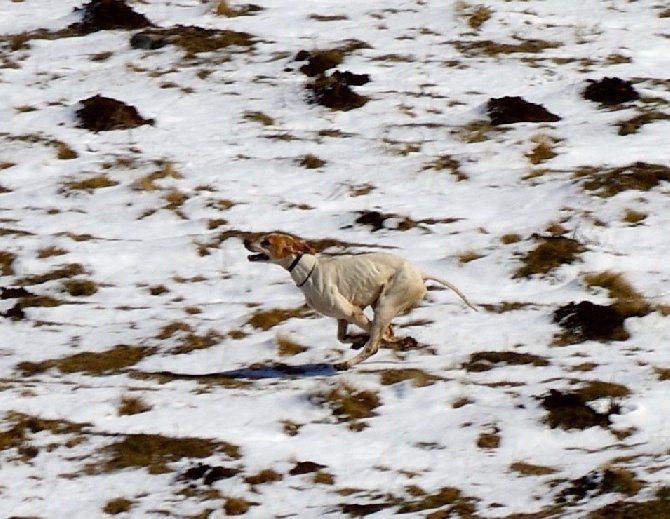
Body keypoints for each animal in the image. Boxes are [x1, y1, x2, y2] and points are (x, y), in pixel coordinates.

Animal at [247, 234, 478, 372]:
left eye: (266, 241)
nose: (245, 241)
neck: (307, 269)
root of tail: (420, 273)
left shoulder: (352, 311)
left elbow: (379, 337)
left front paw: (379, 341)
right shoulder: (342, 317)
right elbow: (343, 337)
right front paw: (358, 339)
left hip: (385, 305)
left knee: (373, 346)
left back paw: (346, 363)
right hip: (380, 304)